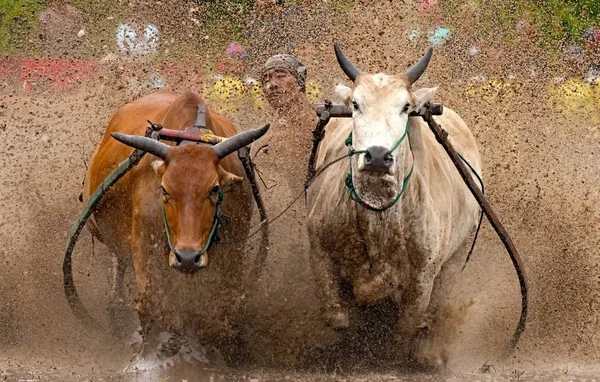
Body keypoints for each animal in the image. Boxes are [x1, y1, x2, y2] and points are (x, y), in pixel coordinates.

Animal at [81, 92, 268, 350]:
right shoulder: (145, 245)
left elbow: (217, 308)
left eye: (214, 189)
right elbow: (150, 303)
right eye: (165, 189)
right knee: (118, 260)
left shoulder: (233, 252)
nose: (187, 257)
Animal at [308, 43, 480, 366]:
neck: (379, 217)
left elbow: (405, 327)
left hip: (456, 258)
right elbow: (337, 316)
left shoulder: (423, 277)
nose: (377, 156)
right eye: (355, 105)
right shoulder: (319, 249)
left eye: (405, 107)